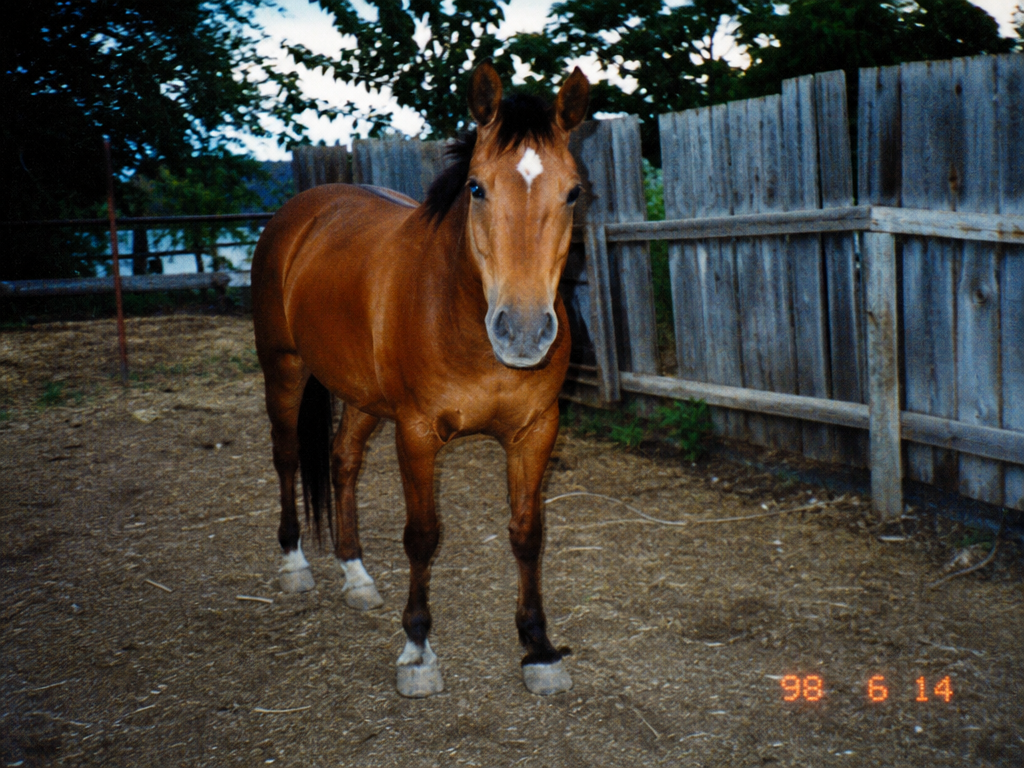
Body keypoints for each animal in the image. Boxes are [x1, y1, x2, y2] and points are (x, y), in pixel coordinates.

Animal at [251, 61, 590, 698]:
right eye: (476, 187)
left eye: (574, 191)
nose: (524, 331)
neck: (462, 316)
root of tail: (302, 210)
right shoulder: (416, 433)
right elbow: (423, 535)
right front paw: (417, 650)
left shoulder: (535, 431)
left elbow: (528, 532)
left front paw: (538, 649)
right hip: (283, 369)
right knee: (287, 457)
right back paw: (293, 564)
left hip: (362, 397)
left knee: (342, 463)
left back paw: (356, 576)